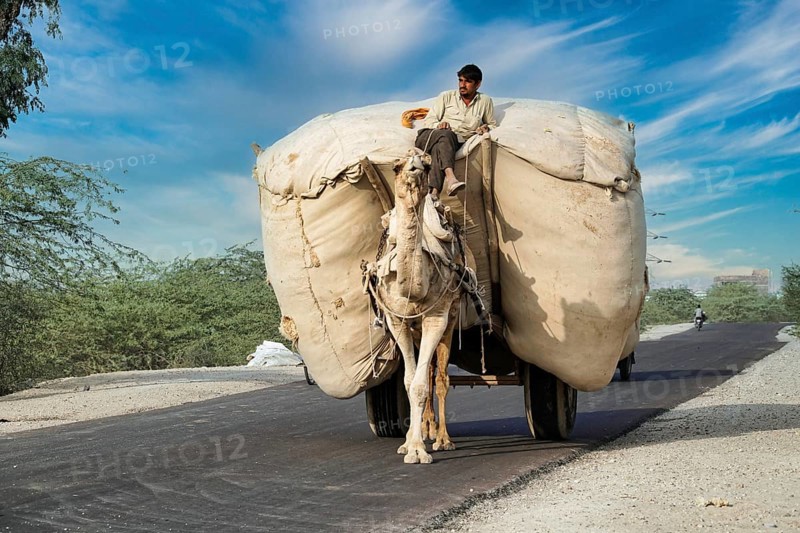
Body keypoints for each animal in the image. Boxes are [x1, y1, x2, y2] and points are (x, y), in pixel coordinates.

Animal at [373, 149, 464, 464]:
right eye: (397, 166)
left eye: (426, 165)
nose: (414, 167)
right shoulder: (396, 321)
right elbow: (410, 380)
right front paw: (409, 444)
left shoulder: (437, 317)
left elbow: (423, 384)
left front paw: (418, 450)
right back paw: (426, 429)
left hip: (451, 317)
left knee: (441, 378)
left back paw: (442, 439)